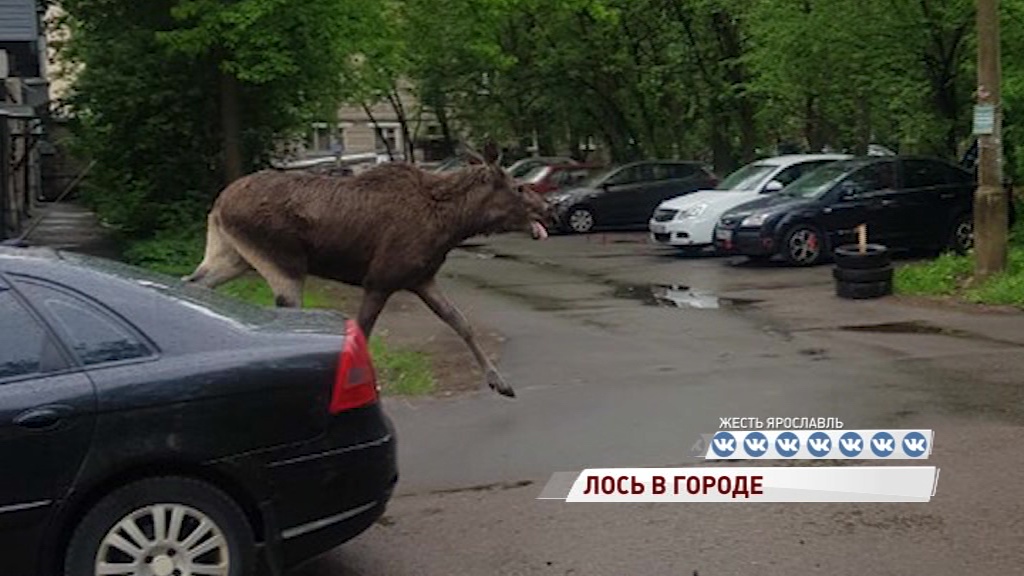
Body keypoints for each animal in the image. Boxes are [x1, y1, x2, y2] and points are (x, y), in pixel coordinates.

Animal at [182, 145, 553, 398]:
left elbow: (460, 322)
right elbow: (363, 331)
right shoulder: (380, 280)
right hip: (283, 264)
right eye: (519, 187)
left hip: (230, 255)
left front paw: (500, 382)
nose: (549, 207)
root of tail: (218, 205)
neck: (452, 223)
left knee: (194, 283)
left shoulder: (421, 278)